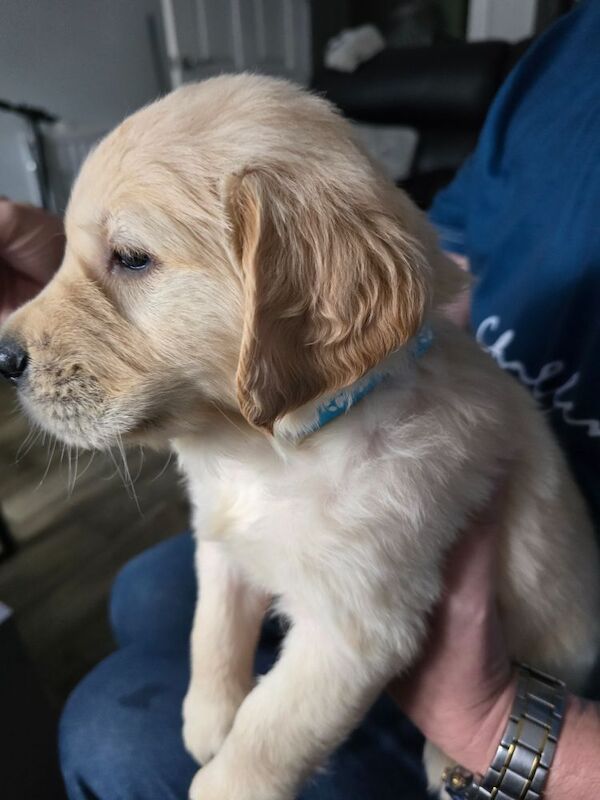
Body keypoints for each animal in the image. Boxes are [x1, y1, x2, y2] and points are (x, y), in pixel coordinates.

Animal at [1, 75, 600, 800]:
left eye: (133, 259)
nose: (2, 357)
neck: (266, 451)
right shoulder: (220, 542)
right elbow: (210, 628)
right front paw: (206, 717)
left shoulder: (356, 626)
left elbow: (269, 732)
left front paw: (220, 773)